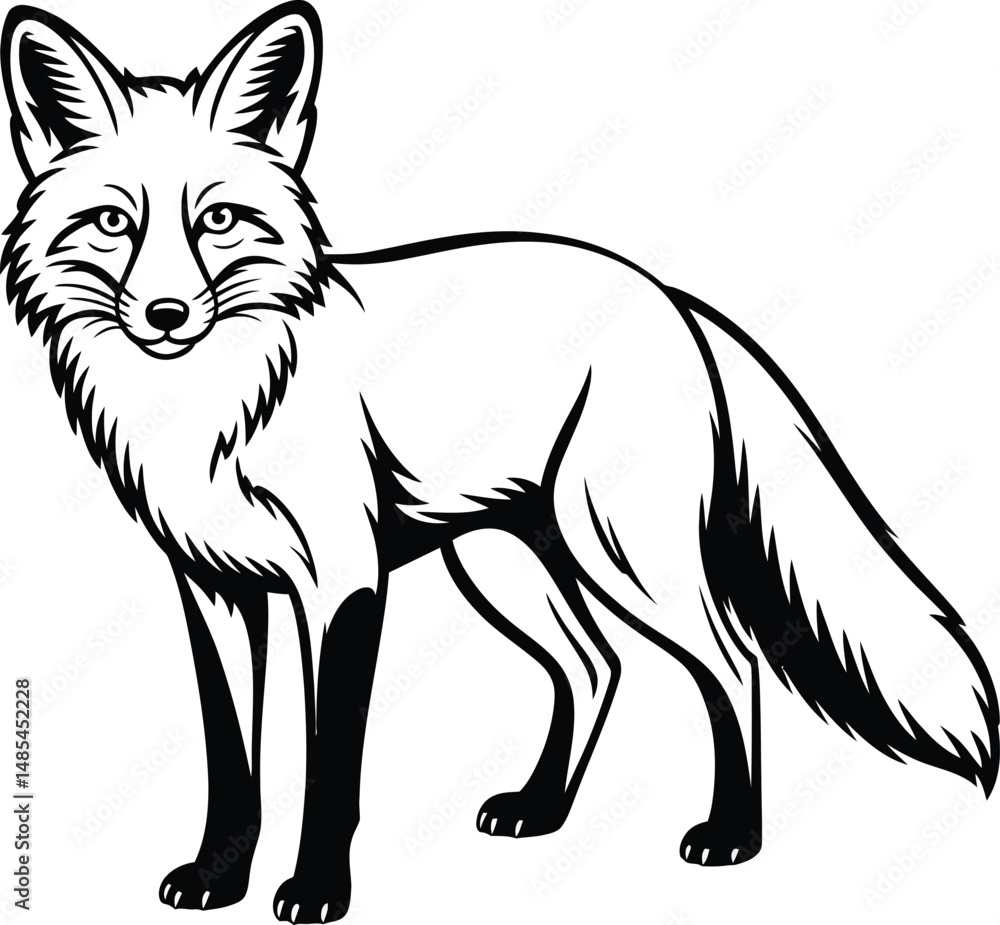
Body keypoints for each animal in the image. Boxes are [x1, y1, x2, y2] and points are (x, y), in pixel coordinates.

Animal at [2, 2, 997, 922]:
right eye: (112, 223)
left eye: (218, 220)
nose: (167, 315)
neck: (222, 406)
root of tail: (667, 291)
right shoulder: (214, 589)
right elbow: (230, 761)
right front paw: (216, 879)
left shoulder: (344, 584)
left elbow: (331, 768)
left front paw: (318, 889)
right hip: (502, 562)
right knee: (596, 668)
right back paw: (542, 809)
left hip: (618, 551)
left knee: (735, 663)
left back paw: (732, 835)